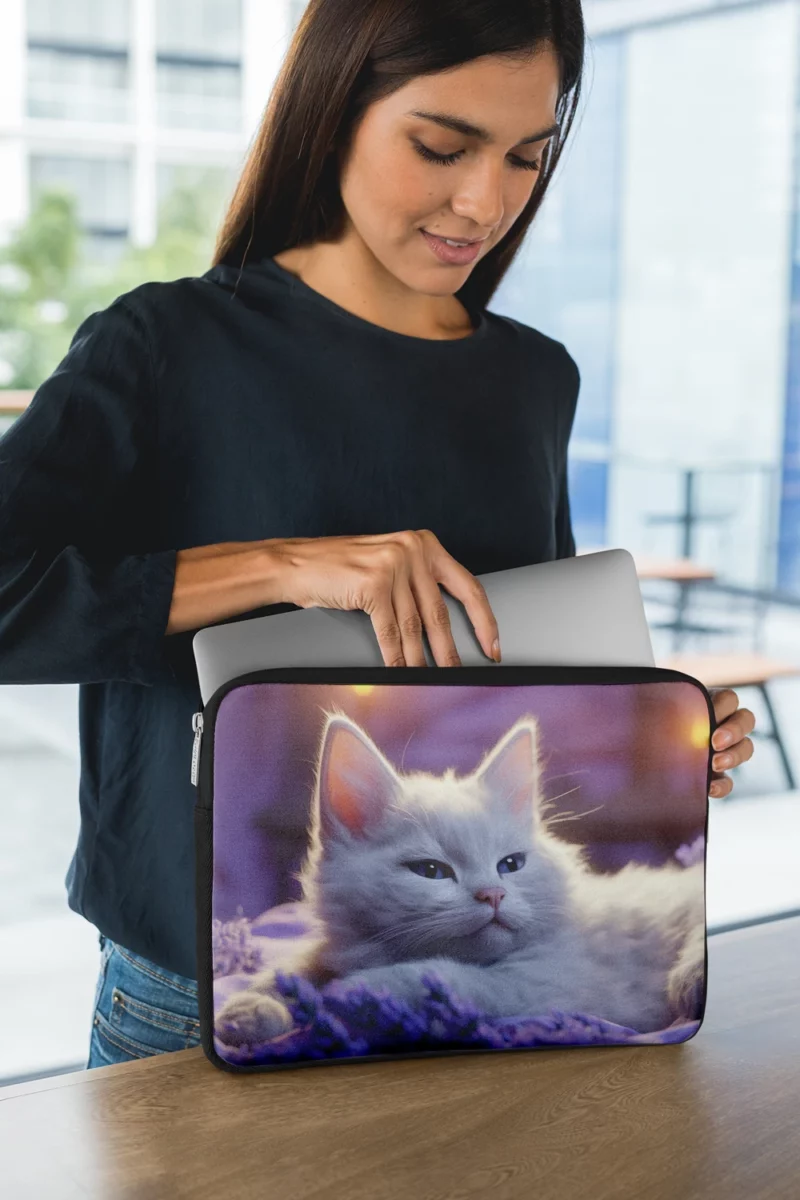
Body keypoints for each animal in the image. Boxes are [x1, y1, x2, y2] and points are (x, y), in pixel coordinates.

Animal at [215, 705, 705, 1046]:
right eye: (431, 871)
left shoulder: (554, 984)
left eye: (511, 865)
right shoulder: (336, 944)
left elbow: (444, 978)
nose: (493, 894)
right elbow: (296, 965)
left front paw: (351, 993)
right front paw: (252, 1006)